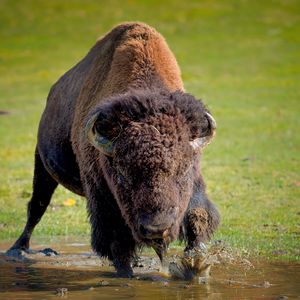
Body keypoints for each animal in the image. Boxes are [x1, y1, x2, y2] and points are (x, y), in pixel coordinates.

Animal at [8, 22, 220, 278]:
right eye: (123, 174)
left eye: (183, 171)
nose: (156, 228)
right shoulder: (102, 197)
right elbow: (116, 243)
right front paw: (126, 275)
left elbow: (198, 216)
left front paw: (197, 267)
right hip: (42, 165)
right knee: (37, 207)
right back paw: (17, 249)